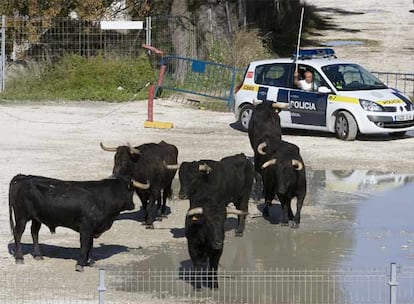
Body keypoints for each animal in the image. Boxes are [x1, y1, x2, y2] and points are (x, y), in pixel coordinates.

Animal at [8, 175, 149, 272]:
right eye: (130, 190)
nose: (132, 205)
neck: (103, 198)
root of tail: (22, 177)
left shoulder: (92, 228)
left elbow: (91, 245)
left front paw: (91, 261)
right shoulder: (86, 227)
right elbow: (85, 244)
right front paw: (80, 264)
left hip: (36, 218)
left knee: (34, 232)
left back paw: (38, 255)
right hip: (21, 216)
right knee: (18, 234)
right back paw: (19, 258)